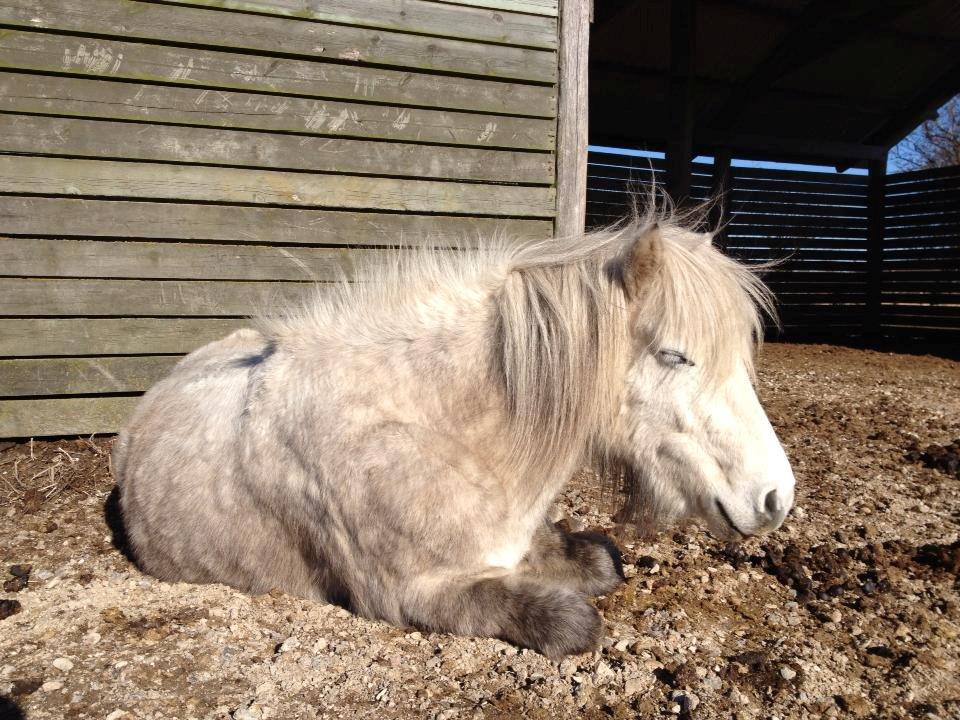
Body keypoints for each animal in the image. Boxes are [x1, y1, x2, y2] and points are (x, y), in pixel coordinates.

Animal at [112, 210, 796, 660]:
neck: (438, 428)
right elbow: (570, 623)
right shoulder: (412, 595)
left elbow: (601, 562)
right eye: (675, 356)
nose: (776, 498)